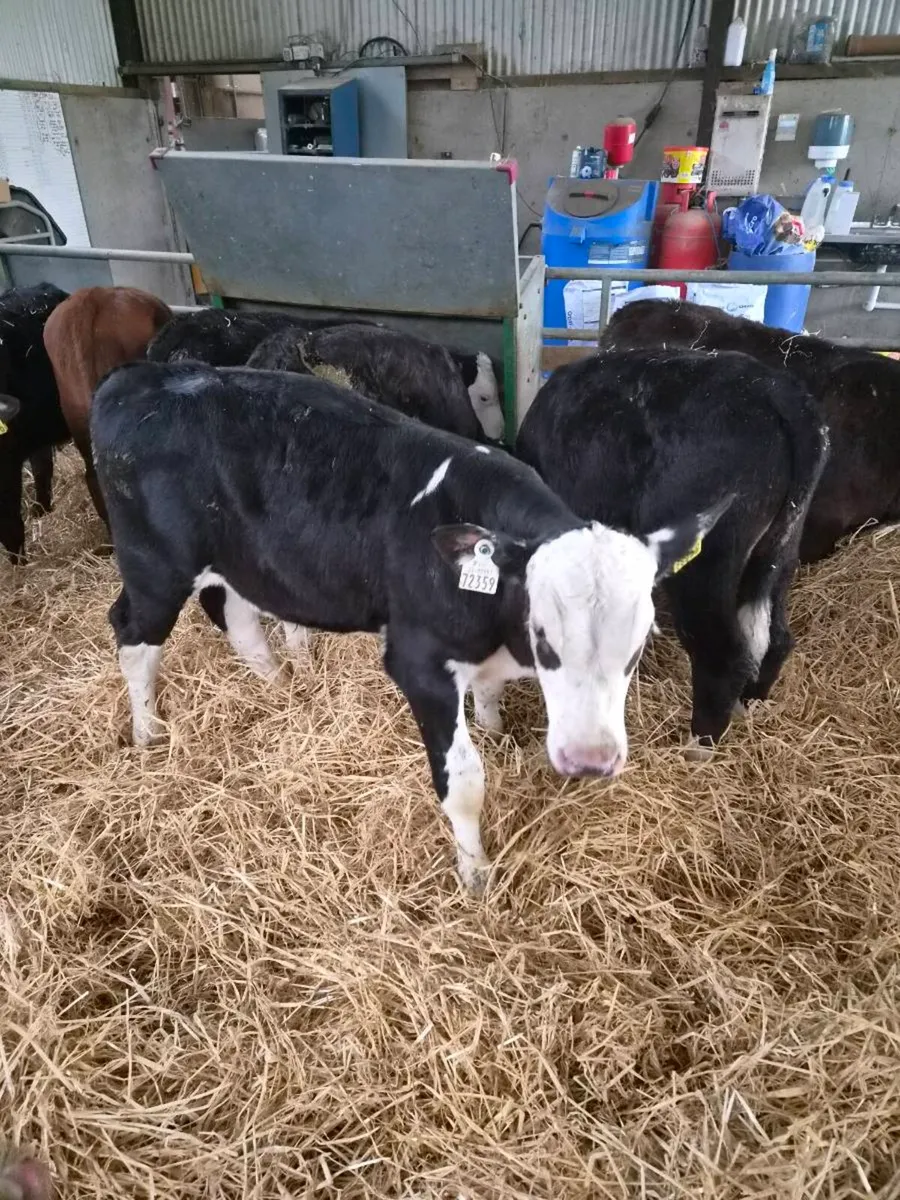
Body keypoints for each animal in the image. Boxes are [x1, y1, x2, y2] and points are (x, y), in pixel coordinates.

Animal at [91, 360, 719, 893]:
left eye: (636, 649)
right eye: (544, 638)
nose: (590, 761)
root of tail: (142, 376)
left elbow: (490, 696)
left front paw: (495, 727)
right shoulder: (419, 665)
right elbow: (464, 782)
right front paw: (475, 875)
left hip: (240, 563)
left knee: (240, 619)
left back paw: (279, 687)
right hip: (156, 564)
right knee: (133, 635)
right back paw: (148, 731)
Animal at [516, 349, 829, 755]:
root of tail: (775, 389)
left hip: (706, 564)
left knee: (722, 654)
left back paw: (699, 744)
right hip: (778, 551)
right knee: (774, 638)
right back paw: (750, 704)